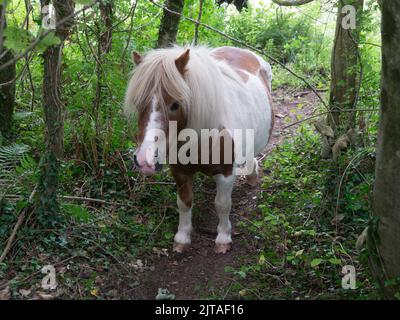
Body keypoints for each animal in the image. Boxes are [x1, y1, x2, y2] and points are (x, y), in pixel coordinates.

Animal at [125, 45, 274, 255]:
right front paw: (182, 237)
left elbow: (222, 204)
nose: (144, 160)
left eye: (175, 104)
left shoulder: (226, 173)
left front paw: (223, 238)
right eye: (138, 103)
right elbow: (184, 202)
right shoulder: (180, 172)